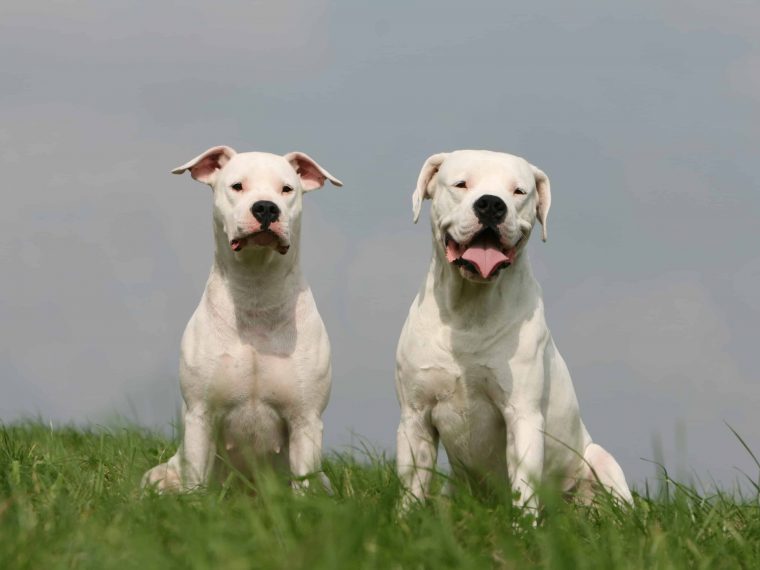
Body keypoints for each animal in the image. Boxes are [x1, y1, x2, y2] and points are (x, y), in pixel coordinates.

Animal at [142, 144, 342, 490]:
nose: (266, 208)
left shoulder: (305, 419)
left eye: (286, 189)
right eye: (237, 186)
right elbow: (197, 480)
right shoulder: (201, 414)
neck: (255, 292)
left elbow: (302, 483)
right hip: (158, 475)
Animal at [394, 149, 632, 508]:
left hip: (600, 460)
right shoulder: (415, 416)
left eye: (519, 191)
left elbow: (524, 492)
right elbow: (410, 492)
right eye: (461, 184)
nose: (491, 204)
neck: (469, 311)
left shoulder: (523, 416)